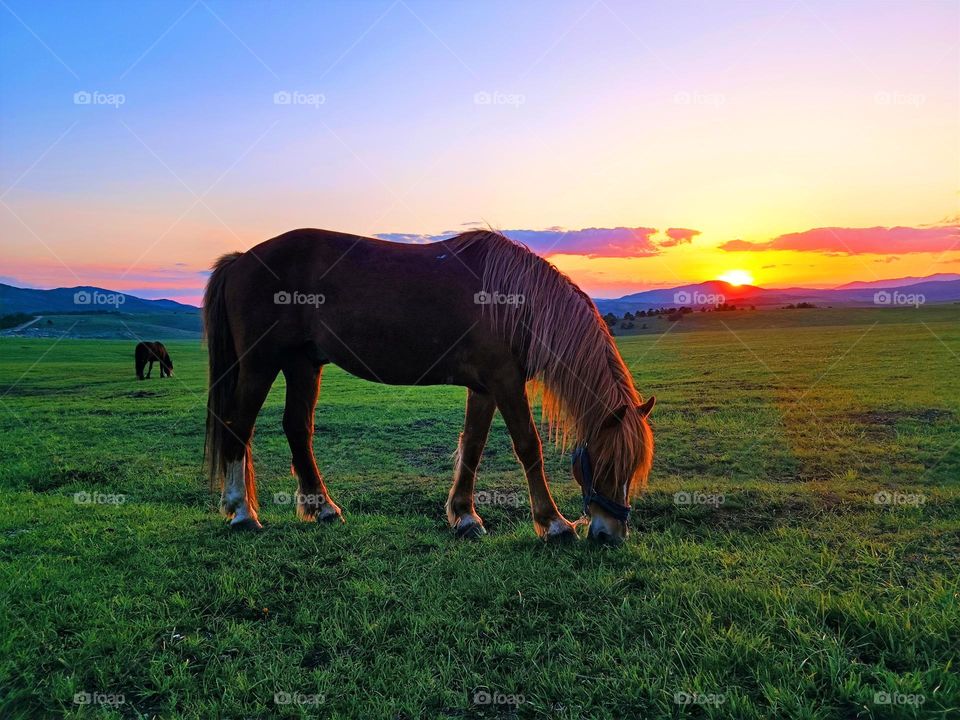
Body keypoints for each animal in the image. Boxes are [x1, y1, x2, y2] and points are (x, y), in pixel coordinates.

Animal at [203, 229, 655, 543]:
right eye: (607, 463)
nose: (611, 534)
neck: (513, 301)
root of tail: (242, 260)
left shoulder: (486, 387)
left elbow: (472, 445)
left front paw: (465, 517)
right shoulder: (505, 381)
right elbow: (528, 446)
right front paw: (554, 523)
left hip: (303, 364)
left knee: (297, 428)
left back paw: (323, 508)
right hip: (260, 364)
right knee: (238, 426)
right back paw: (242, 513)